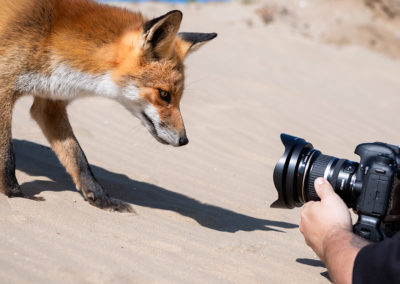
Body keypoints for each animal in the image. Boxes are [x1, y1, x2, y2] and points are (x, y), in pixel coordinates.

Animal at [0, 1, 216, 212]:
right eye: (164, 94)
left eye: (178, 97)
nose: (184, 140)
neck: (49, 36)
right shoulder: (5, 87)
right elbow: (7, 155)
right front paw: (13, 192)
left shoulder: (49, 104)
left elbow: (78, 158)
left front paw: (100, 198)